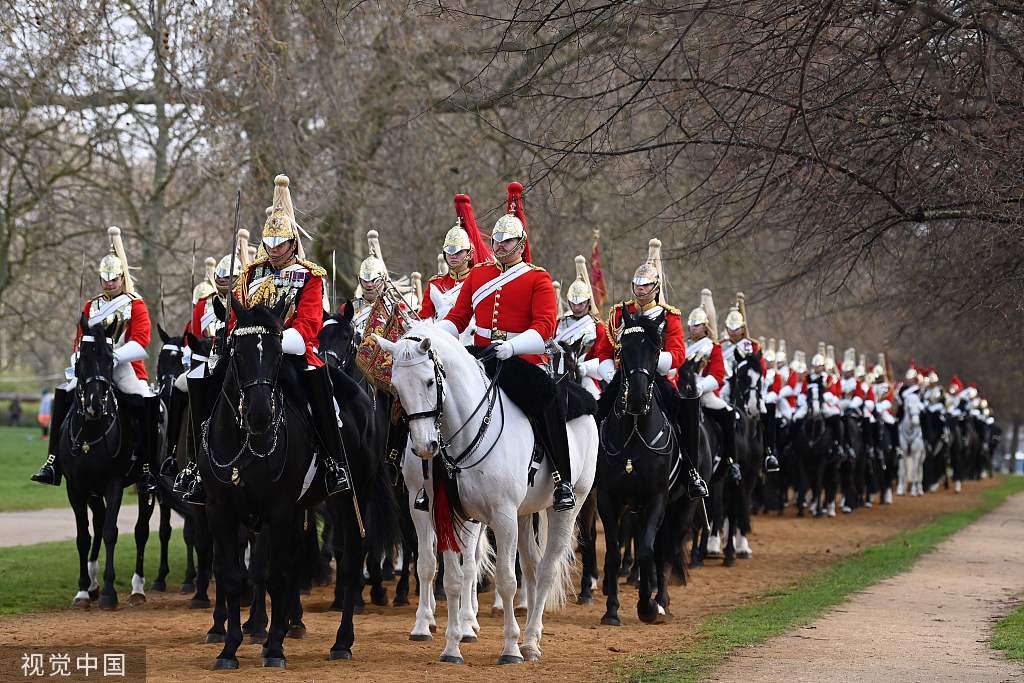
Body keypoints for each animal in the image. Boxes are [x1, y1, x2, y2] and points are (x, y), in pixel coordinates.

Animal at [199, 299, 395, 667]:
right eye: (238, 353)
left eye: (278, 353)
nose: (260, 414)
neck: (246, 441)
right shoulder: (221, 511)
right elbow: (232, 576)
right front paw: (230, 648)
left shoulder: (277, 509)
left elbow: (275, 574)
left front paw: (275, 648)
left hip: (351, 495)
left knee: (351, 557)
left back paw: (341, 642)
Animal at [378, 323, 598, 663]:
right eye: (397, 387)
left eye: (429, 381)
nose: (424, 447)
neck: (468, 431)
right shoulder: (443, 511)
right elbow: (449, 575)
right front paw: (451, 645)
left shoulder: (502, 516)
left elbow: (506, 580)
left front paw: (509, 648)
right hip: (524, 514)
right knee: (532, 567)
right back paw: (528, 633)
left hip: (568, 506)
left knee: (546, 569)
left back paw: (529, 642)